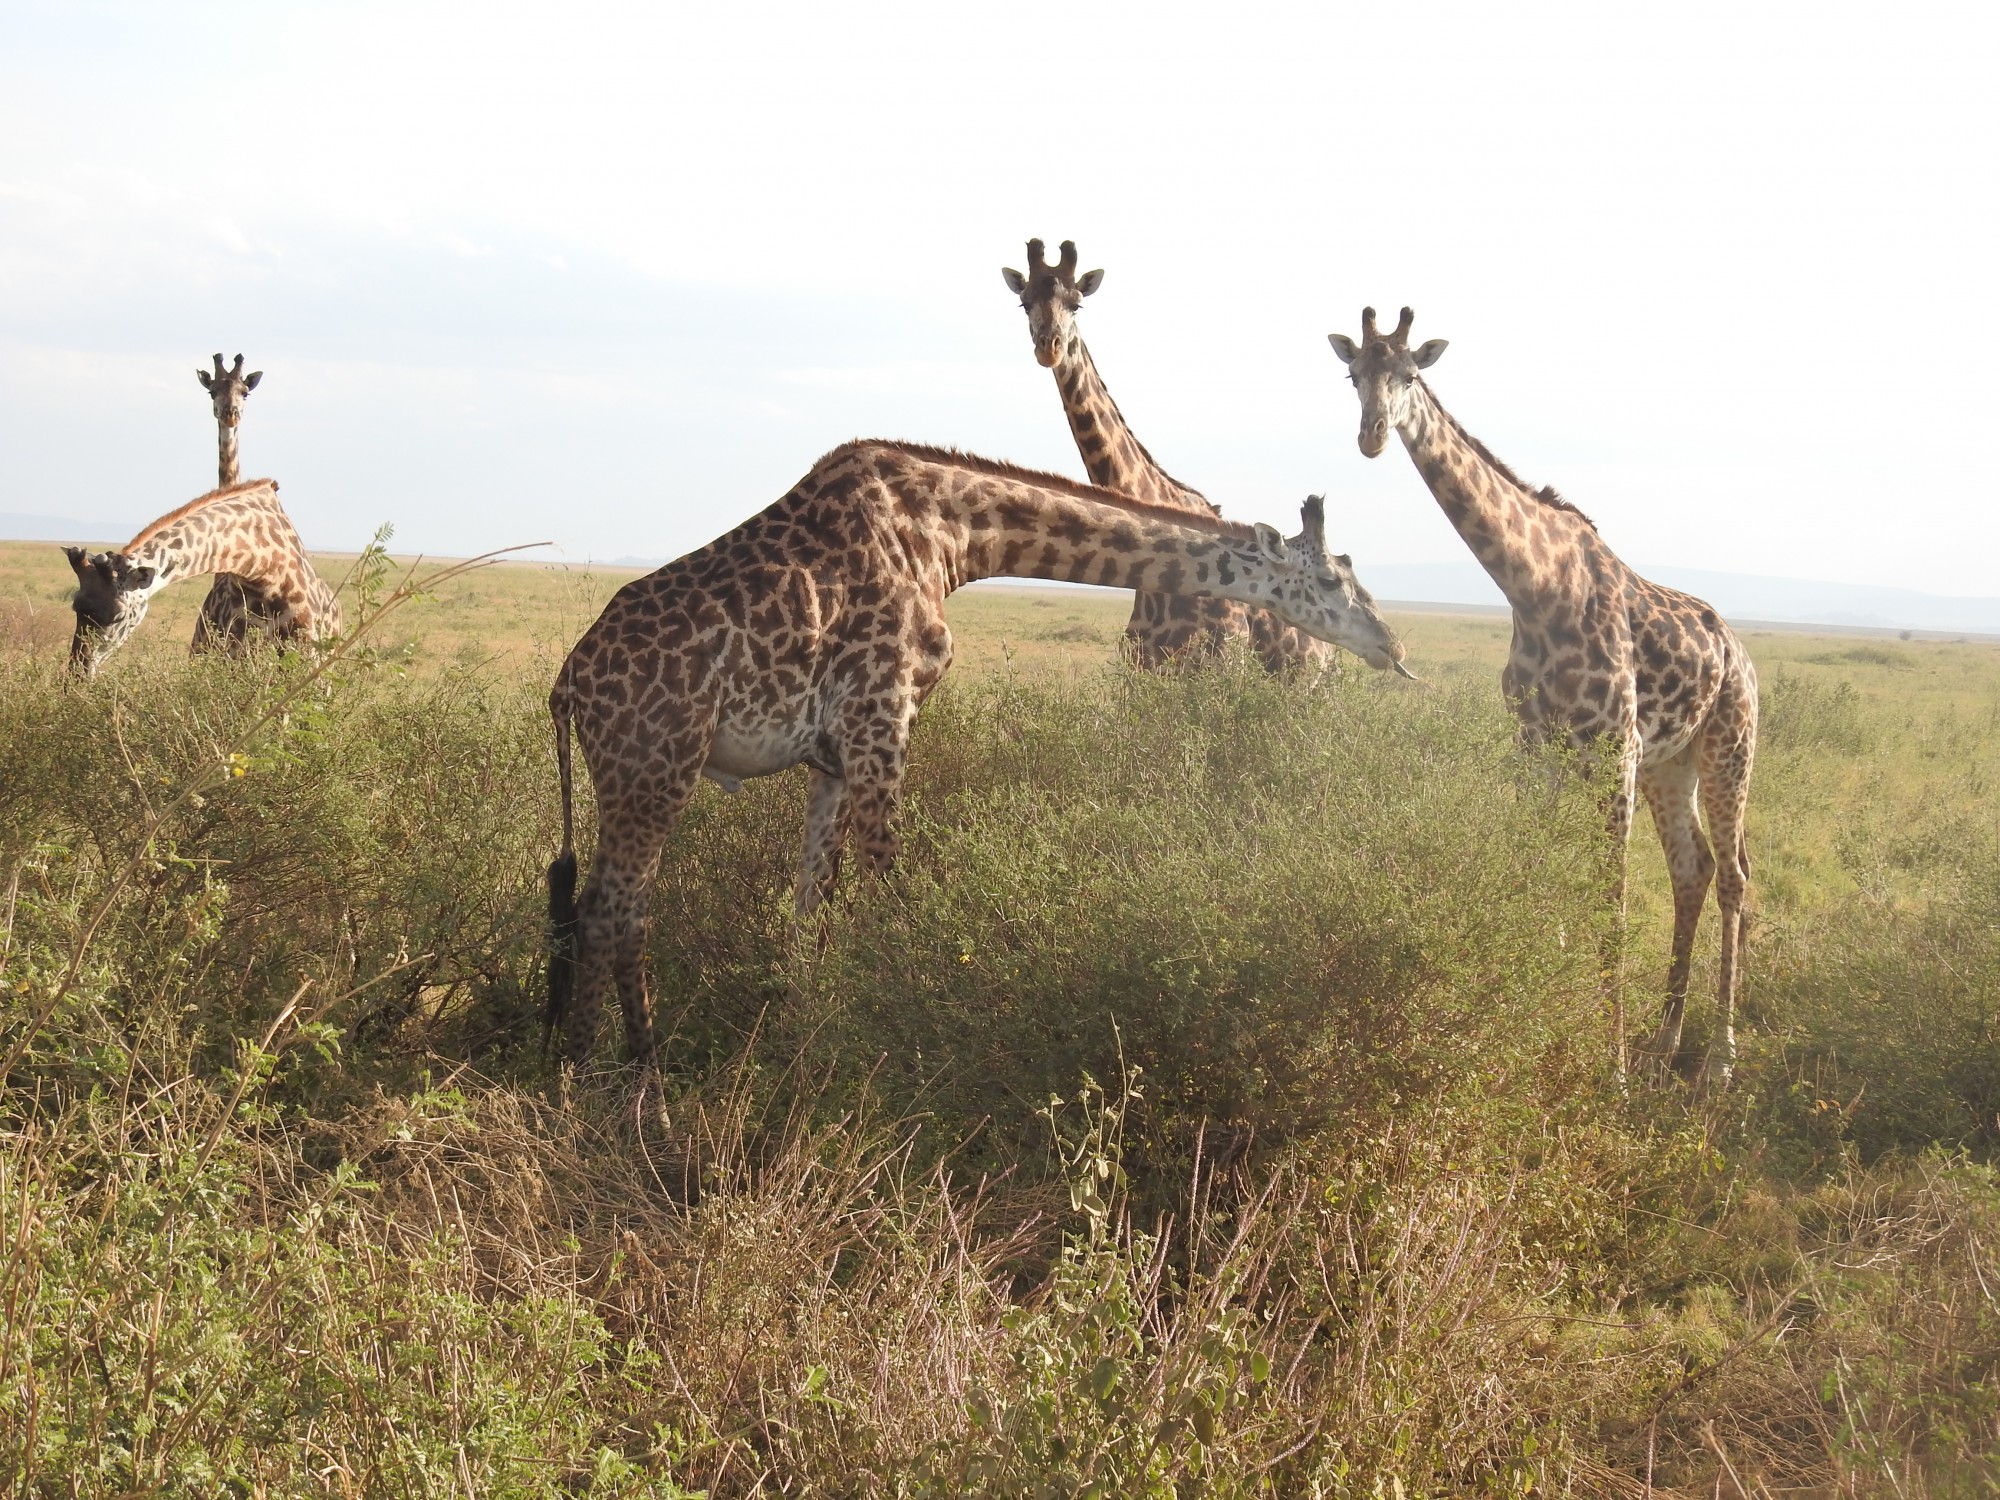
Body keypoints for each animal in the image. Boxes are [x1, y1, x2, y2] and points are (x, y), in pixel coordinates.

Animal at [66, 478, 344, 680]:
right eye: (76, 608)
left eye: (119, 616)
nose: (76, 677)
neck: (265, 569)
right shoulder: (232, 659)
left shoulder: (305, 662)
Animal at [544, 438, 1408, 1072]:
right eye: (1333, 580)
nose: (1392, 647)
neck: (953, 535)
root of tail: (567, 683)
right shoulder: (882, 714)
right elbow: (889, 887)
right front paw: (907, 1036)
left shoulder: (833, 752)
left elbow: (808, 908)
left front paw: (802, 1035)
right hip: (657, 766)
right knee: (616, 911)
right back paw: (627, 1082)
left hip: (633, 776)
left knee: (601, 908)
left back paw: (594, 1068)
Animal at [1336, 306, 1760, 1088]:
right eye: (1353, 374)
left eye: (1409, 374)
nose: (1372, 434)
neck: (1533, 588)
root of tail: (1741, 656)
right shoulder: (1537, 749)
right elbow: (1536, 874)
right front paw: (1533, 1033)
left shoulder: (1615, 752)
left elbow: (1610, 904)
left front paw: (1607, 1069)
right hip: (1673, 763)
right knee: (1693, 869)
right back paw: (1663, 1044)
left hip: (1729, 746)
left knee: (1735, 876)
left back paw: (1716, 1059)